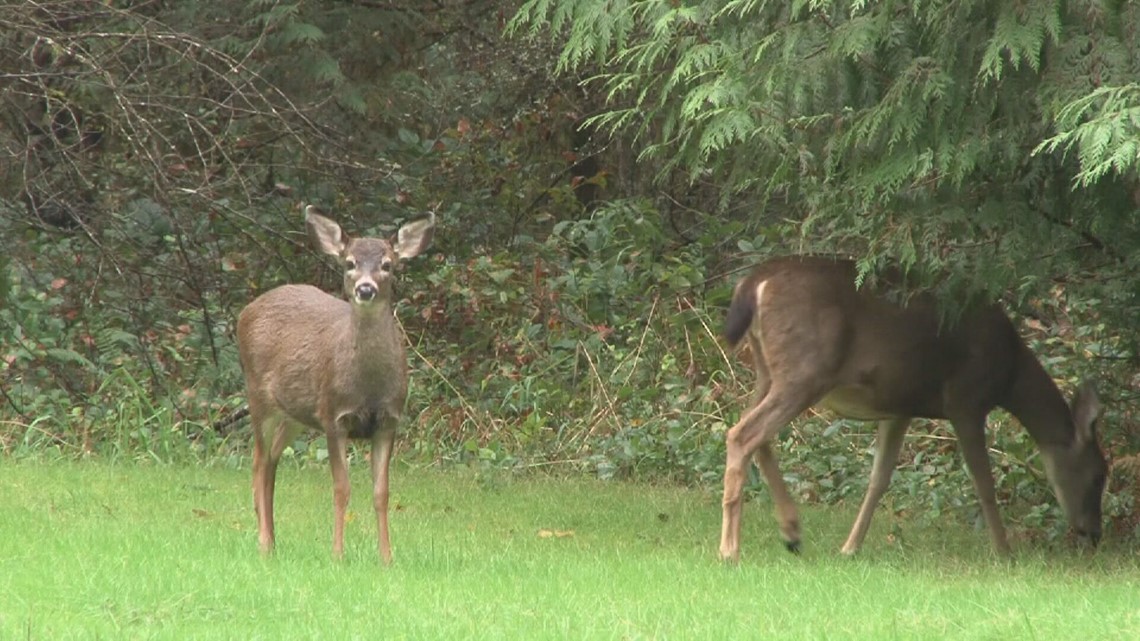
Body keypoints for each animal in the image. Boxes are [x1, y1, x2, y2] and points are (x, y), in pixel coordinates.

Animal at [236, 205, 435, 564]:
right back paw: (263, 543)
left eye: (387, 264)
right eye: (349, 263)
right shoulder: (334, 416)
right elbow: (342, 489)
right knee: (258, 462)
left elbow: (382, 493)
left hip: (295, 415)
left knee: (271, 460)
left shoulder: (389, 421)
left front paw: (387, 558)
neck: (368, 388)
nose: (365, 289)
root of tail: (245, 312)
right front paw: (338, 555)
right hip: (258, 398)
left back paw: (274, 540)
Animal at [718, 256, 1108, 562]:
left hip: (768, 370)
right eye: (1099, 475)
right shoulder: (966, 400)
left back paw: (792, 533)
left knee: (755, 434)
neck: (1009, 375)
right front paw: (1004, 551)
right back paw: (729, 551)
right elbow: (984, 482)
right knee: (742, 434)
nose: (1094, 534)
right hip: (805, 370)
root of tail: (754, 283)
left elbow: (879, 478)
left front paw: (849, 548)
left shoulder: (899, 406)